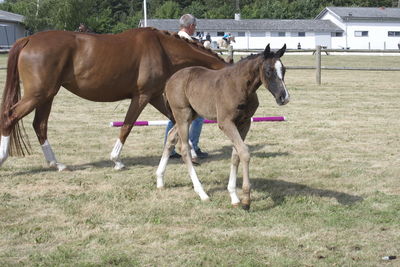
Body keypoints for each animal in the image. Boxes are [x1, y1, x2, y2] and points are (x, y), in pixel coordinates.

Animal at [0, 27, 228, 171]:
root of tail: (28, 40)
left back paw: (57, 164)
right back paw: (4, 158)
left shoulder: (154, 96)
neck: (163, 49)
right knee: (9, 117)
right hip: (37, 95)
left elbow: (176, 121)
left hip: (47, 96)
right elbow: (127, 126)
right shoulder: (142, 96)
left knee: (40, 125)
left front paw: (192, 153)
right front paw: (116, 160)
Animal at [155, 45, 288, 210]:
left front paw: (234, 197)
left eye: (284, 70)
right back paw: (202, 193)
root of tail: (170, 80)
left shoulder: (244, 123)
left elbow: (236, 155)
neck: (240, 86)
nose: (284, 97)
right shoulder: (225, 123)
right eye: (269, 71)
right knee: (184, 149)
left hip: (192, 115)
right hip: (182, 114)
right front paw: (246, 200)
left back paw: (160, 180)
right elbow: (244, 152)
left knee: (171, 137)